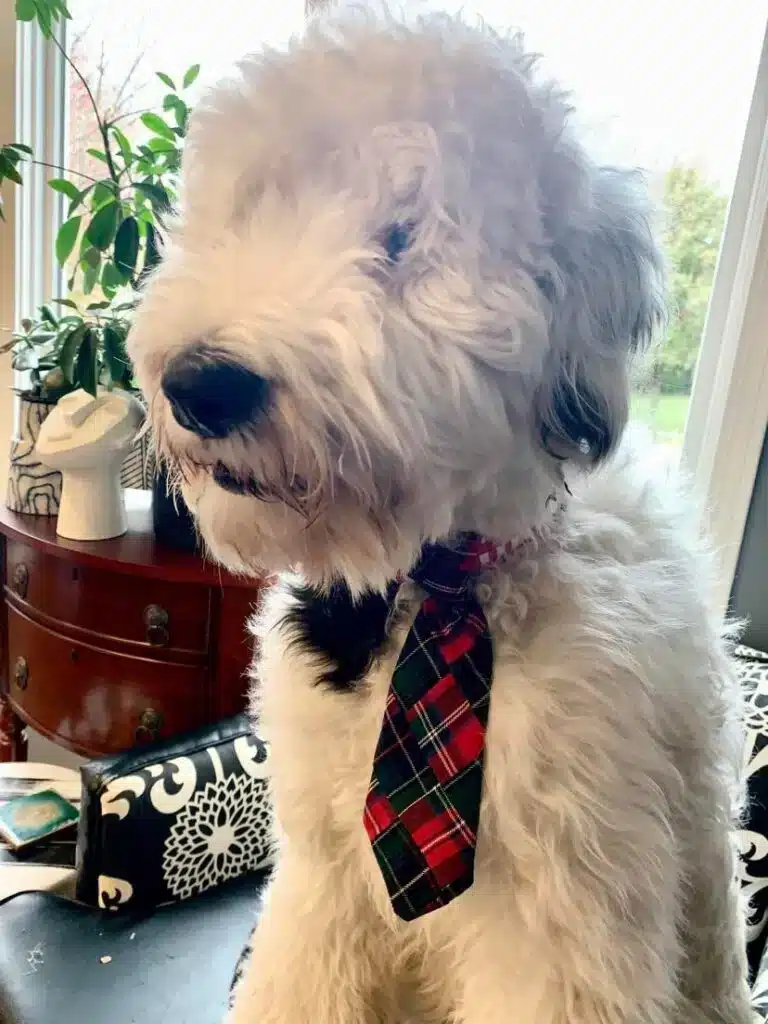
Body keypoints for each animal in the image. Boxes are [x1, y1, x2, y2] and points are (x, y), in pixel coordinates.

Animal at [129, 8, 753, 1024]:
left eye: (401, 236)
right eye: (251, 212)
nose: (200, 384)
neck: (453, 585)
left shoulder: (558, 921)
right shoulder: (325, 879)